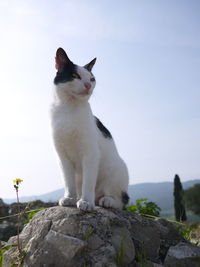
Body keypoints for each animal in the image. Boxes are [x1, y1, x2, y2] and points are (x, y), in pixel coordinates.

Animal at [51, 47, 130, 211]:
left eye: (92, 79)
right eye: (75, 76)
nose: (88, 85)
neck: (68, 109)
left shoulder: (91, 153)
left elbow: (88, 182)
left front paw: (86, 201)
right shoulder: (62, 156)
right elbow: (68, 181)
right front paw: (69, 198)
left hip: (116, 170)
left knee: (121, 201)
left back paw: (106, 200)